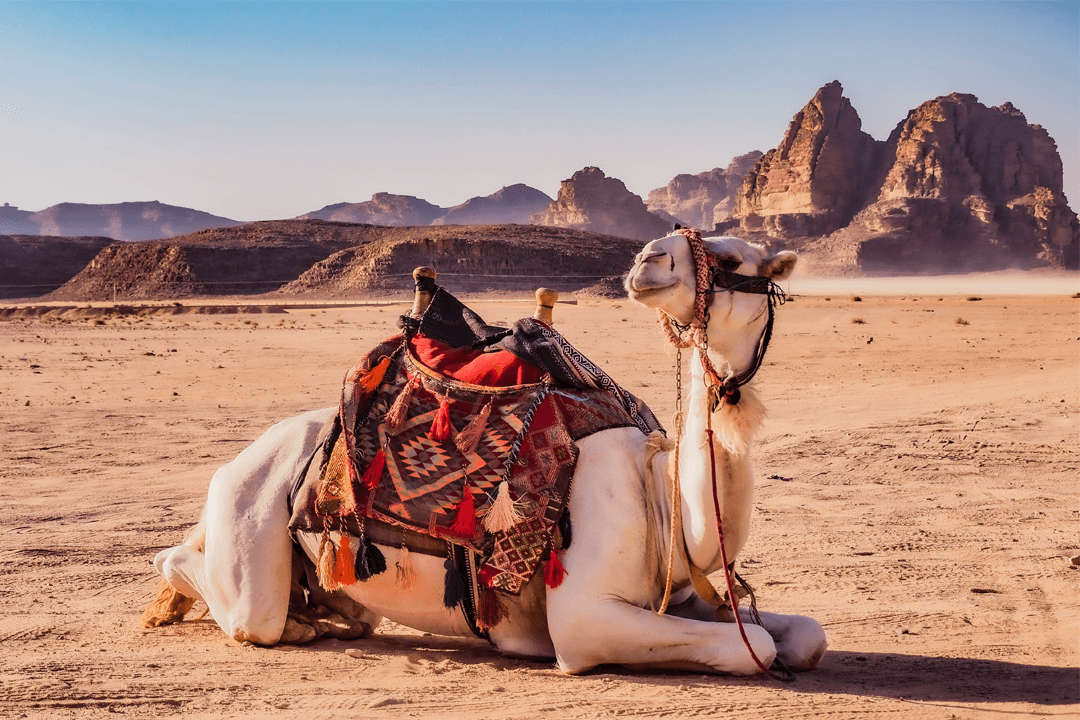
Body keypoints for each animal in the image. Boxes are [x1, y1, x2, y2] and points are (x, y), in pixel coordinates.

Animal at [145, 231, 826, 676]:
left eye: (731, 256)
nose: (647, 259)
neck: (660, 497)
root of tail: (238, 462)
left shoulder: (682, 597)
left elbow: (803, 636)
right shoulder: (585, 620)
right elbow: (755, 648)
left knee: (338, 610)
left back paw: (322, 617)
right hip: (249, 515)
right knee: (213, 586)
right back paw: (222, 611)